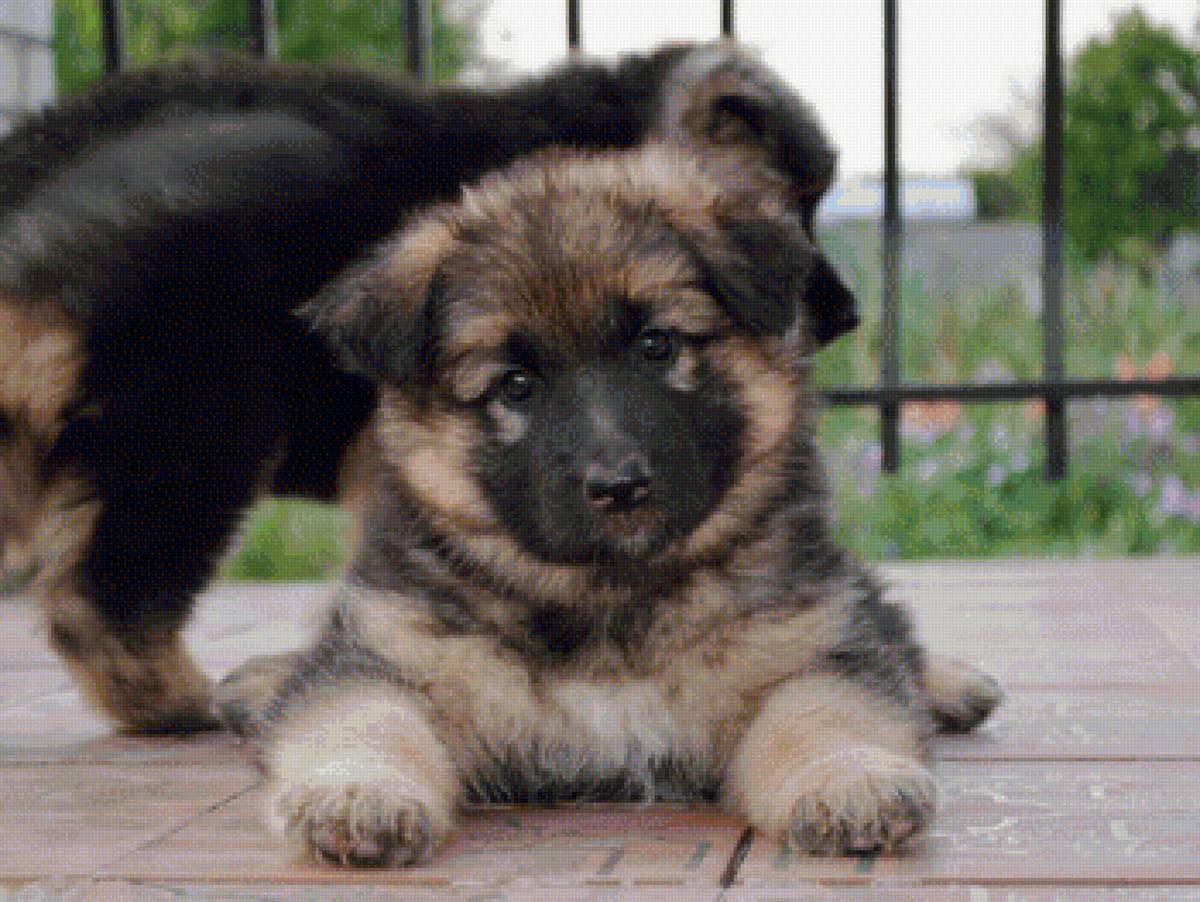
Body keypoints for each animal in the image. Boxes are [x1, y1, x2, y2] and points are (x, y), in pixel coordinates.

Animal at [219, 143, 1002, 864]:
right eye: (515, 385)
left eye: (657, 345)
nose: (619, 485)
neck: (608, 599)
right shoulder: (392, 650)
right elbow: (362, 717)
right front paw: (356, 795)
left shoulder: (810, 640)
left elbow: (829, 711)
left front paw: (851, 780)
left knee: (885, 615)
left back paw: (954, 683)